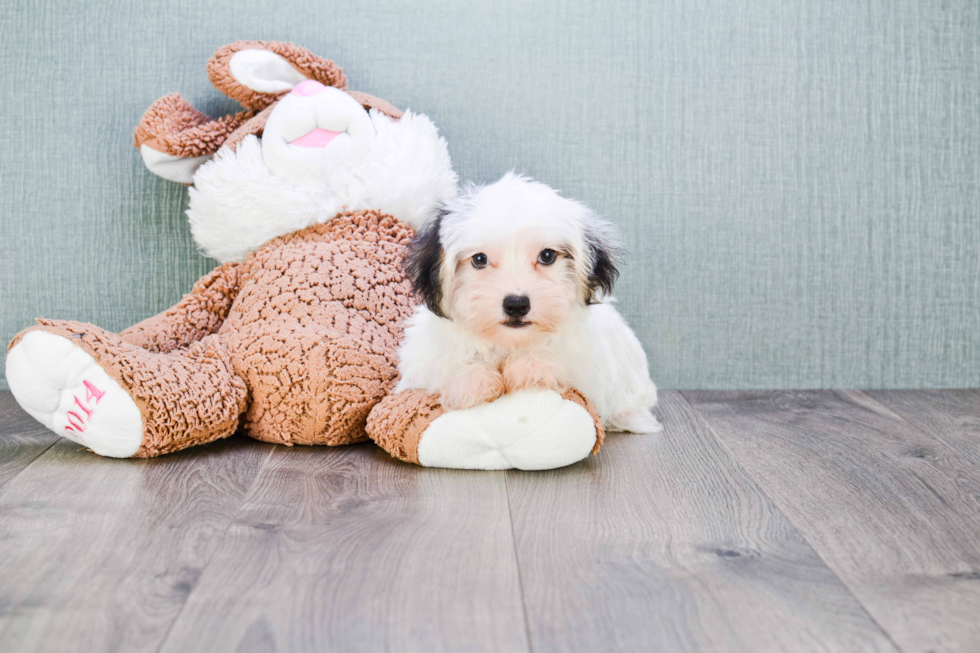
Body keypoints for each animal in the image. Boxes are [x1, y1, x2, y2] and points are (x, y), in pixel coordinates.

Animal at [394, 172, 664, 432]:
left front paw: (530, 366)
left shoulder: (593, 367)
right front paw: (471, 380)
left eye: (547, 256)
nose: (516, 304)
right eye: (480, 259)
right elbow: (440, 364)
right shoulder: (422, 359)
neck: (510, 343)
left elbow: (566, 361)